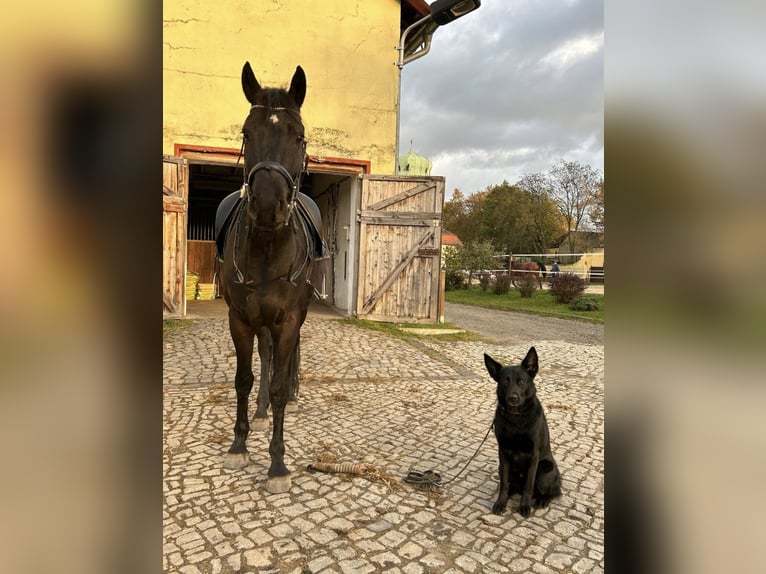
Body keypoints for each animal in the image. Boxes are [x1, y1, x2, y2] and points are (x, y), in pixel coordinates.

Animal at [486, 348, 564, 520]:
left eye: (521, 381)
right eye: (505, 381)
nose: (513, 398)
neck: (516, 418)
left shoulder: (533, 455)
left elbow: (528, 485)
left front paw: (524, 506)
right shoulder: (503, 452)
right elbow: (504, 483)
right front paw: (501, 502)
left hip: (544, 470)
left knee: (552, 492)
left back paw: (542, 500)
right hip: (502, 468)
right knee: (511, 485)